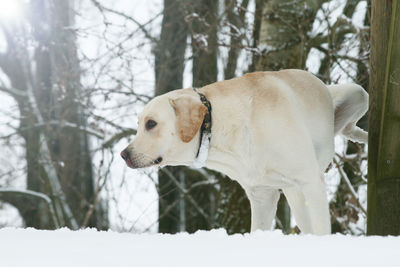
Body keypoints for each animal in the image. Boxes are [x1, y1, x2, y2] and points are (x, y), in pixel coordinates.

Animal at [120, 70, 368, 236]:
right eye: (140, 124)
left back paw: (362, 135)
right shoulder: (262, 196)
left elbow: (323, 228)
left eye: (151, 124)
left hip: (359, 93)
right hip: (294, 192)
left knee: (350, 125)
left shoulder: (311, 180)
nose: (124, 154)